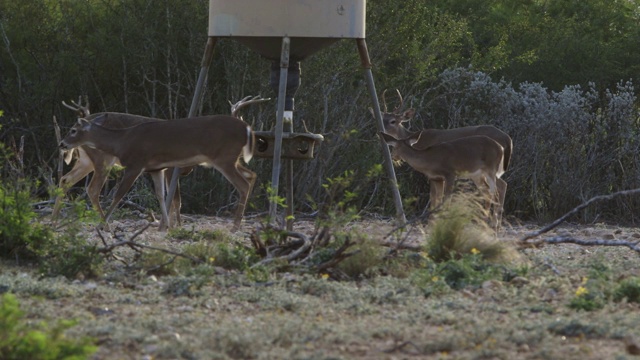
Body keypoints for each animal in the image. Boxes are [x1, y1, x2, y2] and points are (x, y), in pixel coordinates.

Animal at [378, 89, 512, 225]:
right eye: (382, 118)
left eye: (393, 121)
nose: (380, 132)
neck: (420, 143)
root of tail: (508, 139)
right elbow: (436, 199)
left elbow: (435, 199)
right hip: (478, 174)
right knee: (495, 188)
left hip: (490, 170)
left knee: (500, 187)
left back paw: (494, 223)